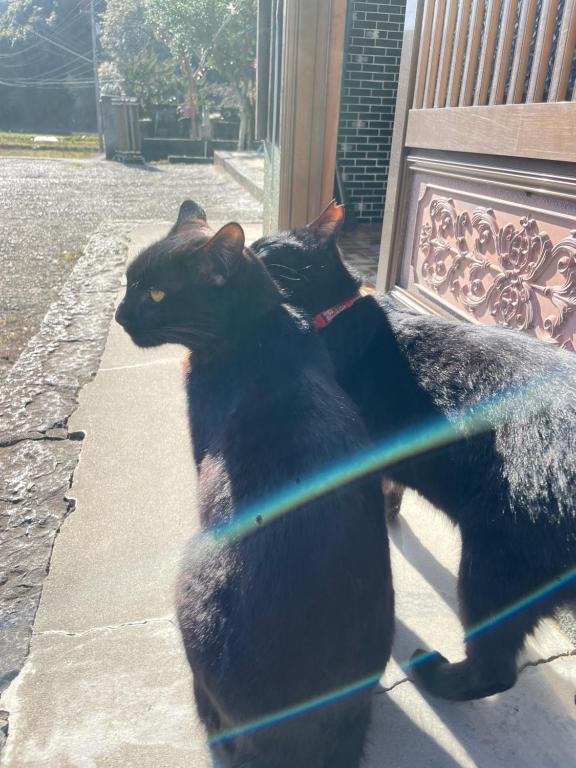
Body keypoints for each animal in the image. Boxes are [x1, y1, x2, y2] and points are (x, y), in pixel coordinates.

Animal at [254, 202, 576, 704]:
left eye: (264, 249)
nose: (242, 249)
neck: (334, 316)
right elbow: (388, 488)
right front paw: (387, 514)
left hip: (494, 564)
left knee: (495, 669)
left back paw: (434, 673)